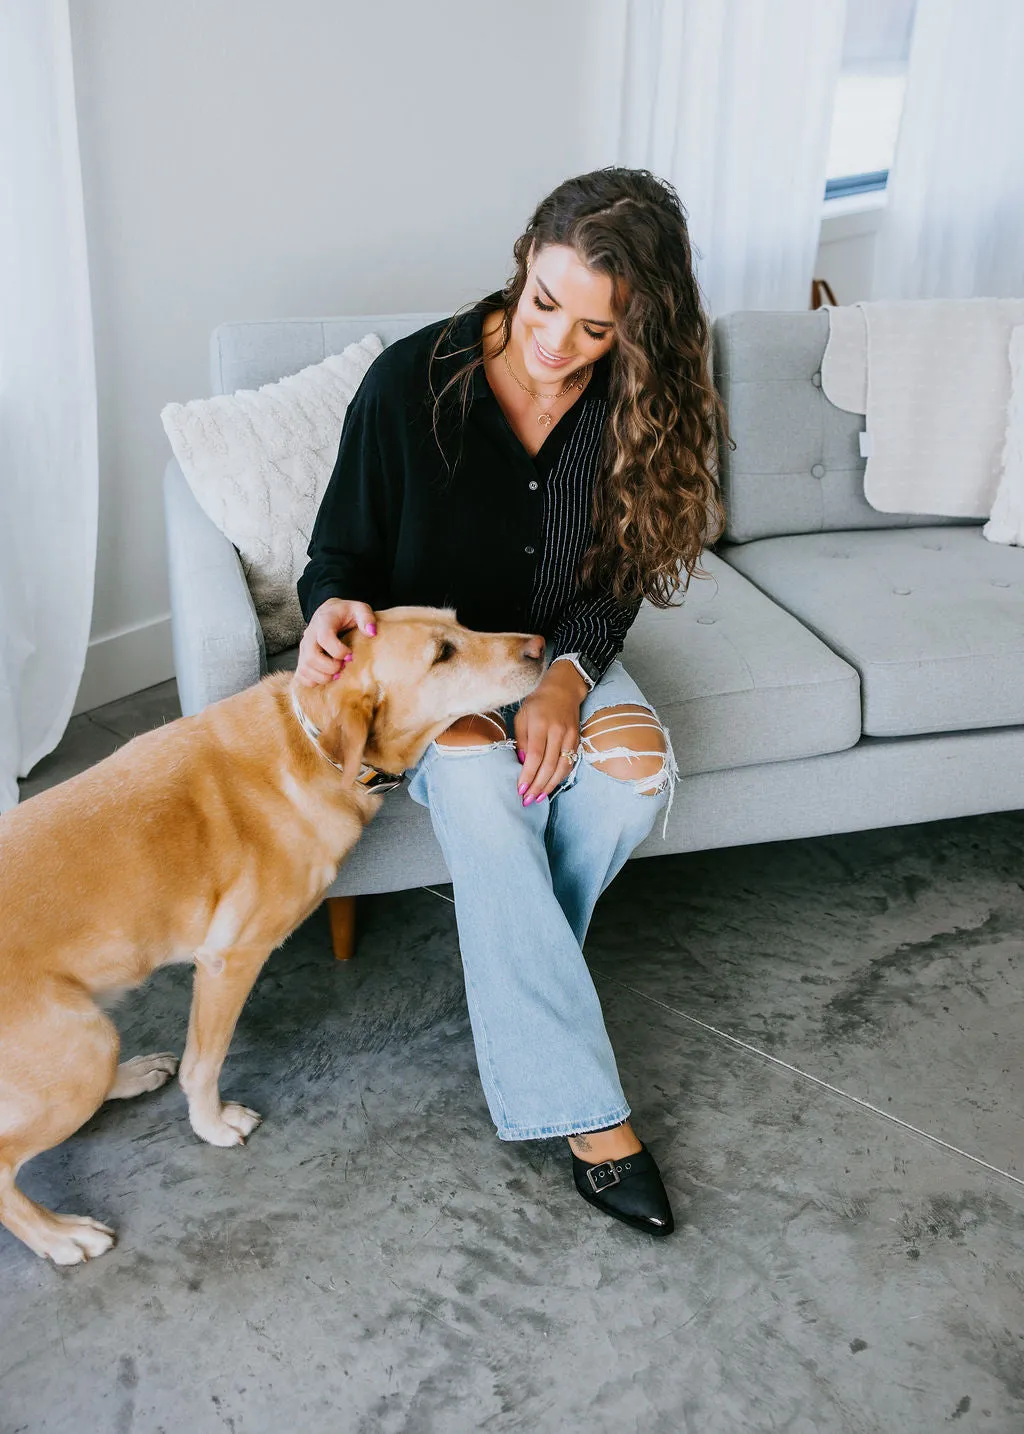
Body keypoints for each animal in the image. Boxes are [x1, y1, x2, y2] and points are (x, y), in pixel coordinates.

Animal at [0, 608, 542, 1267]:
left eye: (459, 623)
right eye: (442, 654)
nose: (541, 645)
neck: (309, 743)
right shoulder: (229, 960)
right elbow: (203, 1065)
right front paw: (212, 1126)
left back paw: (132, 1076)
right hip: (80, 1046)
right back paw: (58, 1235)